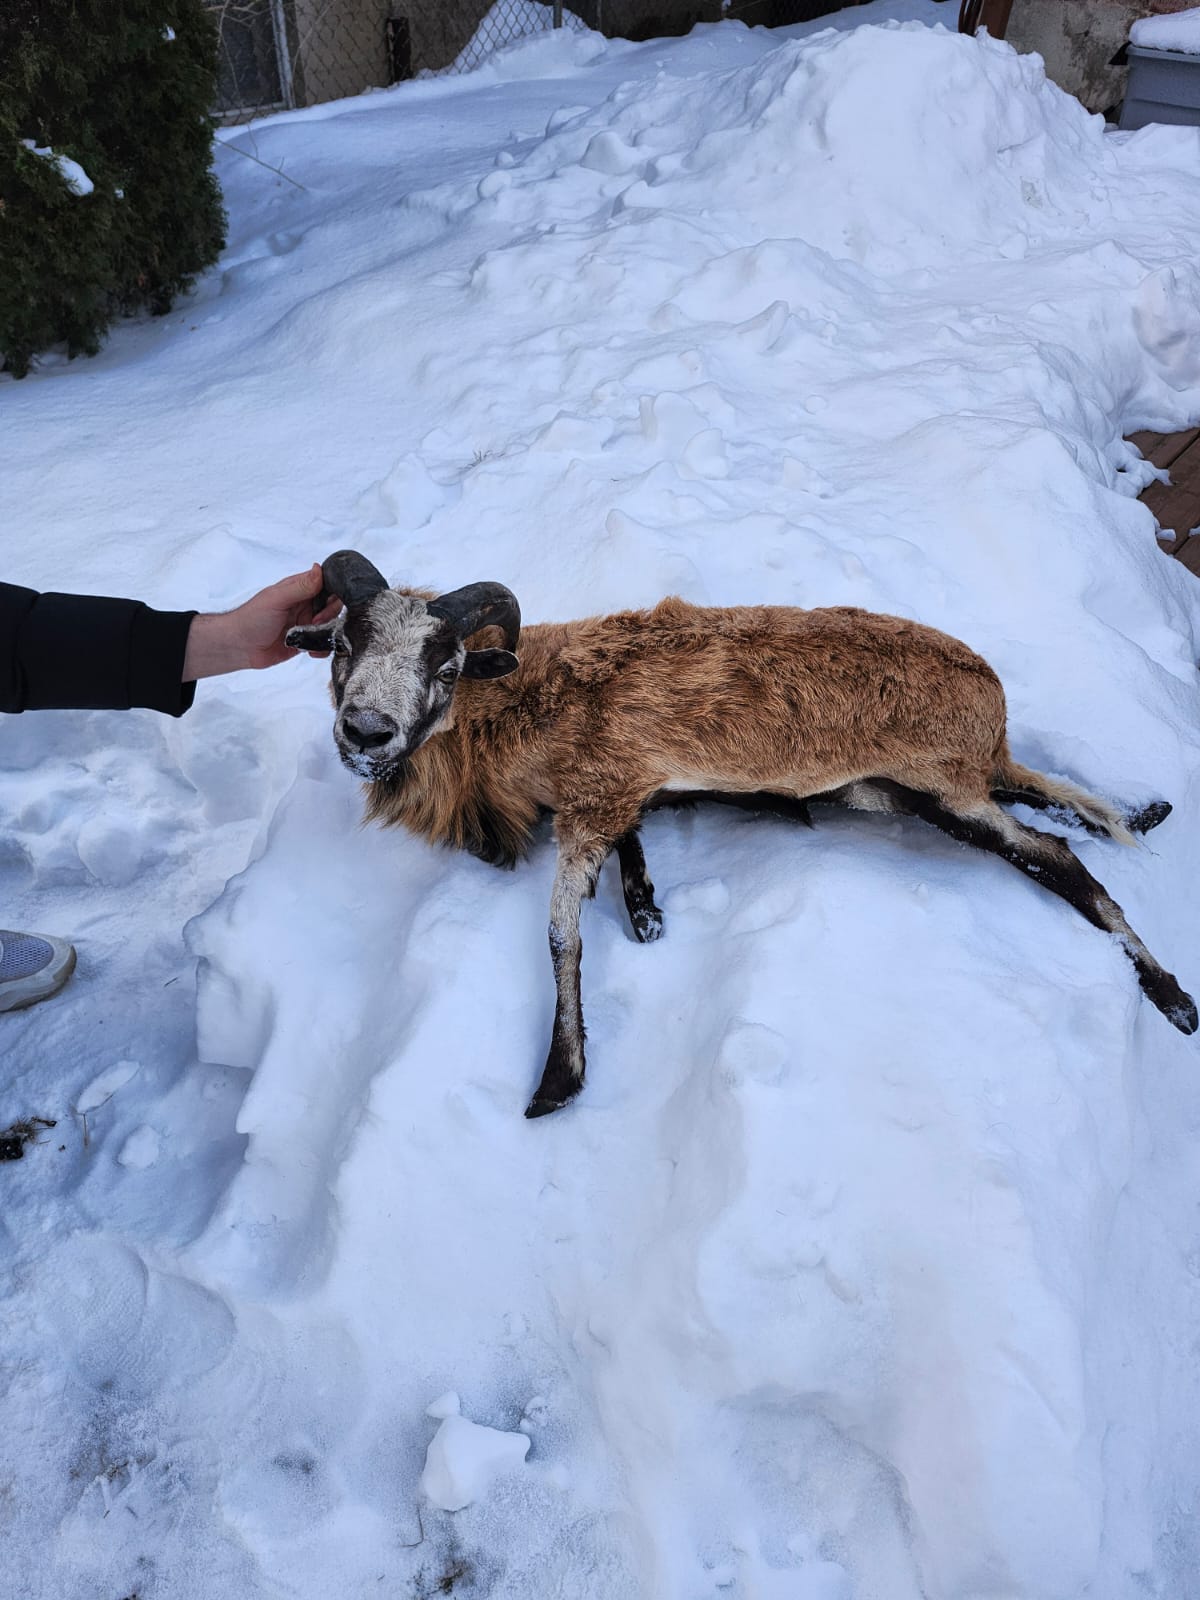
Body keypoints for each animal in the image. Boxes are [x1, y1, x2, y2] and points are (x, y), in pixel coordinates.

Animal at [287, 549, 1197, 1118]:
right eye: (338, 646)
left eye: (443, 667)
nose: (365, 733)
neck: (517, 714)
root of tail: (992, 708)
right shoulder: (620, 793)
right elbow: (631, 849)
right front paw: (646, 909)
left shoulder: (595, 796)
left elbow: (560, 933)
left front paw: (559, 1079)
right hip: (900, 790)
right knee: (1047, 802)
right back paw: (1142, 812)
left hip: (940, 786)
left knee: (1055, 858)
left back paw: (1173, 997)